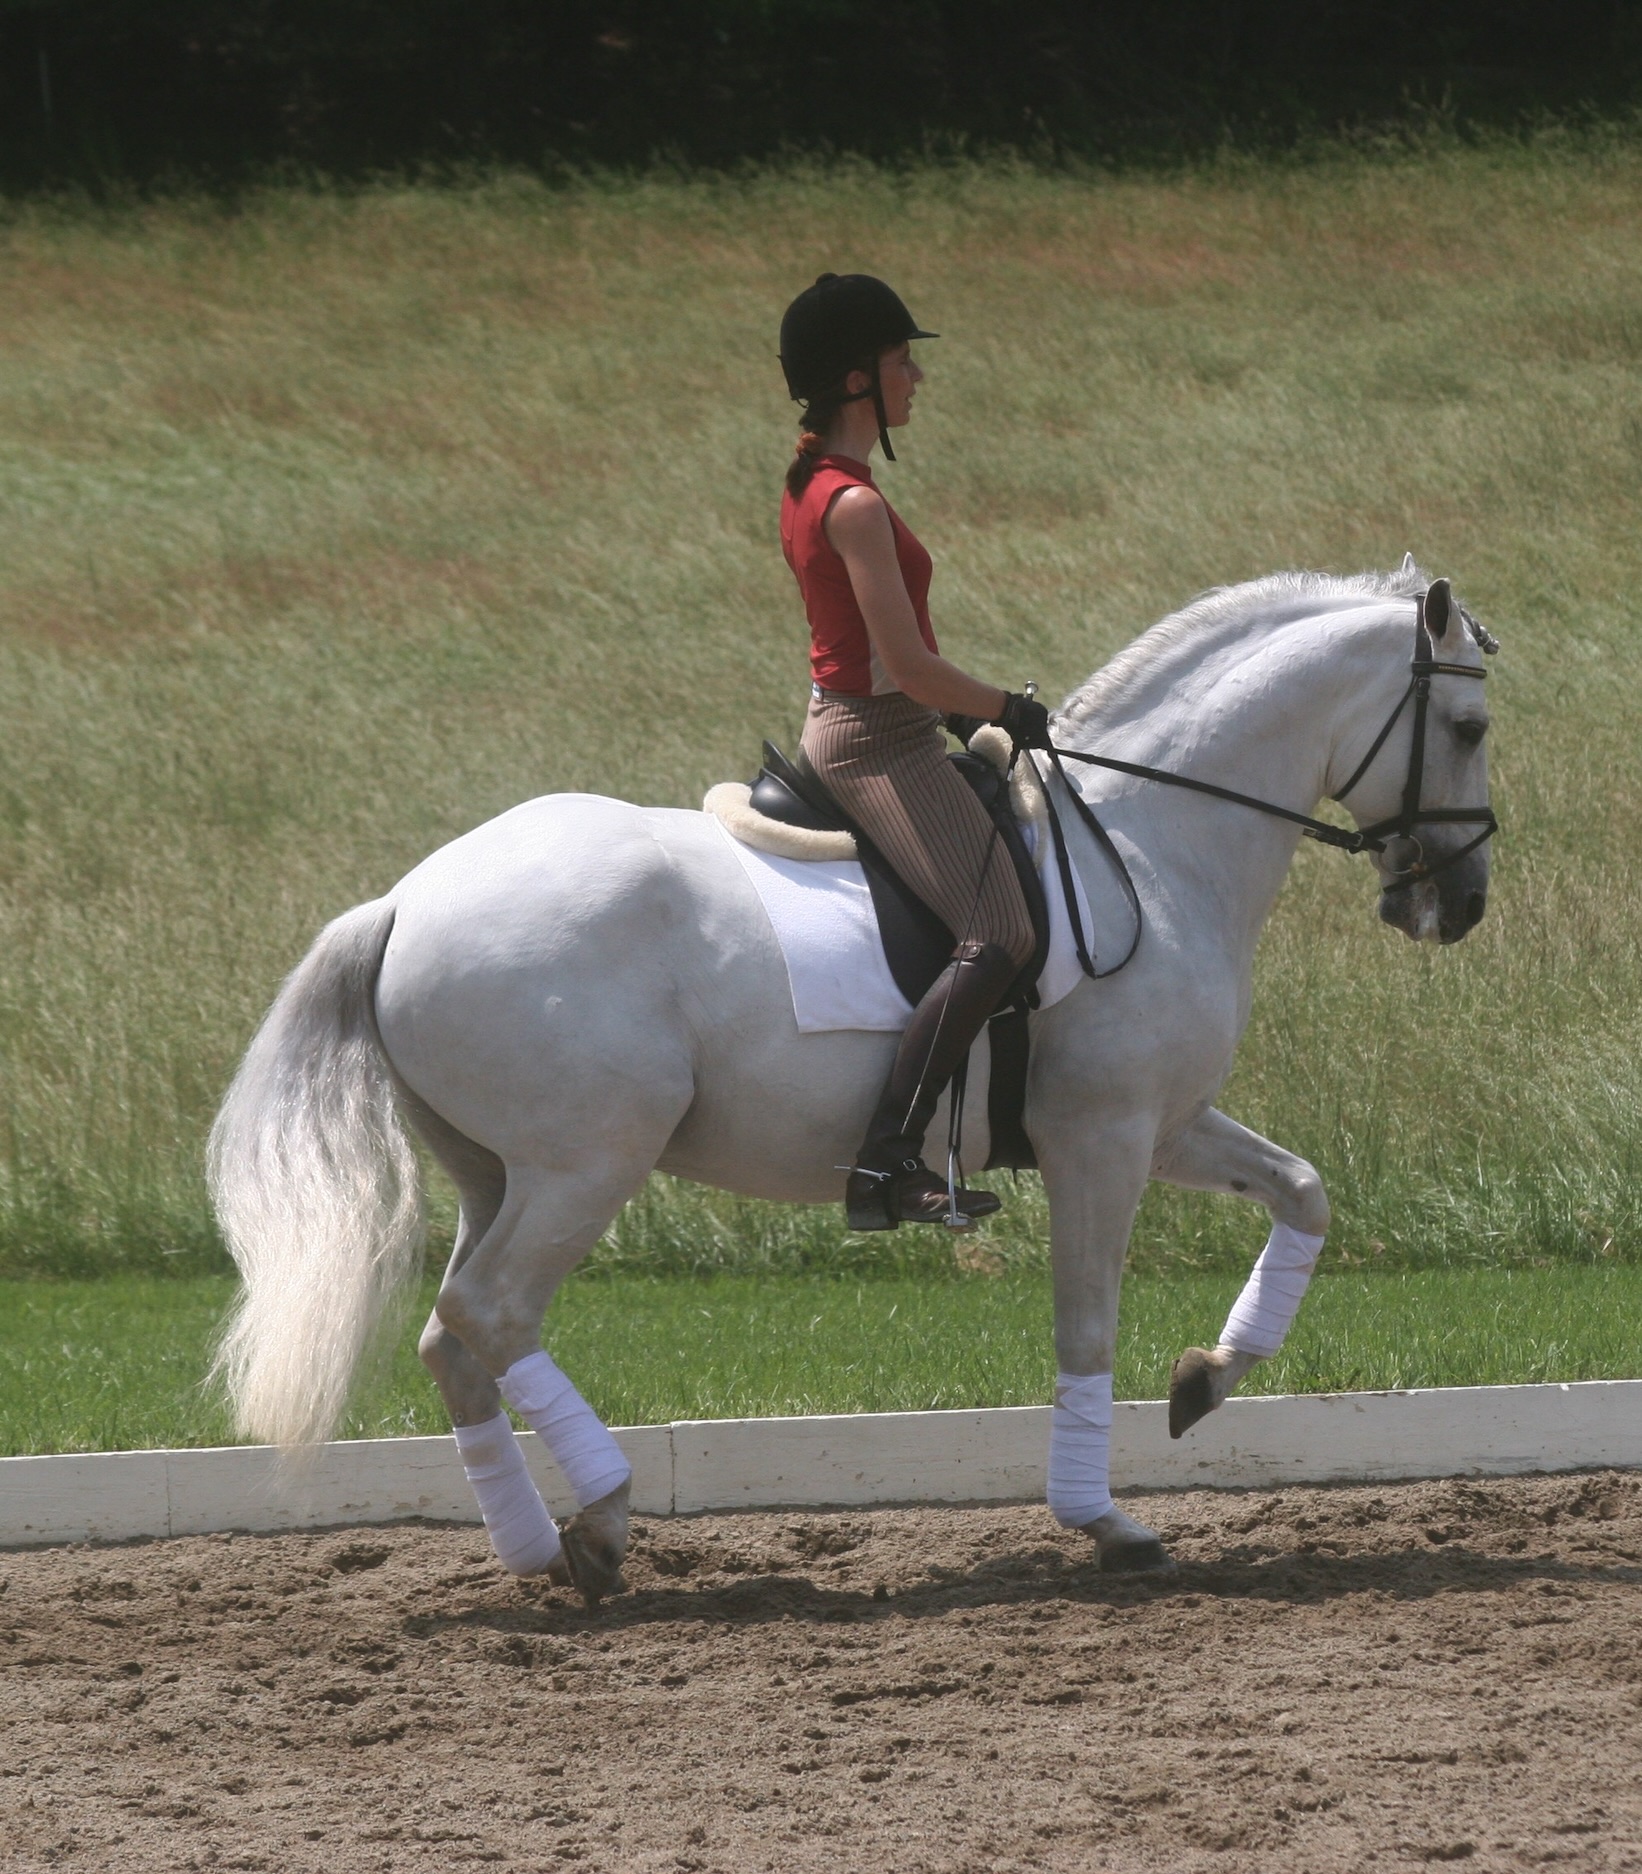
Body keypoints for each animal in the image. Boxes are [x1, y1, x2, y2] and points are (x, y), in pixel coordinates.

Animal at [208, 560, 1495, 1594]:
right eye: (1472, 725)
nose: (1459, 902)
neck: (1145, 840)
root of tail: (402, 901)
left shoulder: (1169, 1121)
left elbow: (1302, 1190)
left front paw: (1205, 1378)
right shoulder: (1104, 1136)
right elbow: (1085, 1324)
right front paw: (1106, 1518)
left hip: (498, 1172)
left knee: (451, 1336)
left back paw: (536, 1546)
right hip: (588, 1162)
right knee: (489, 1311)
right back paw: (607, 1514)